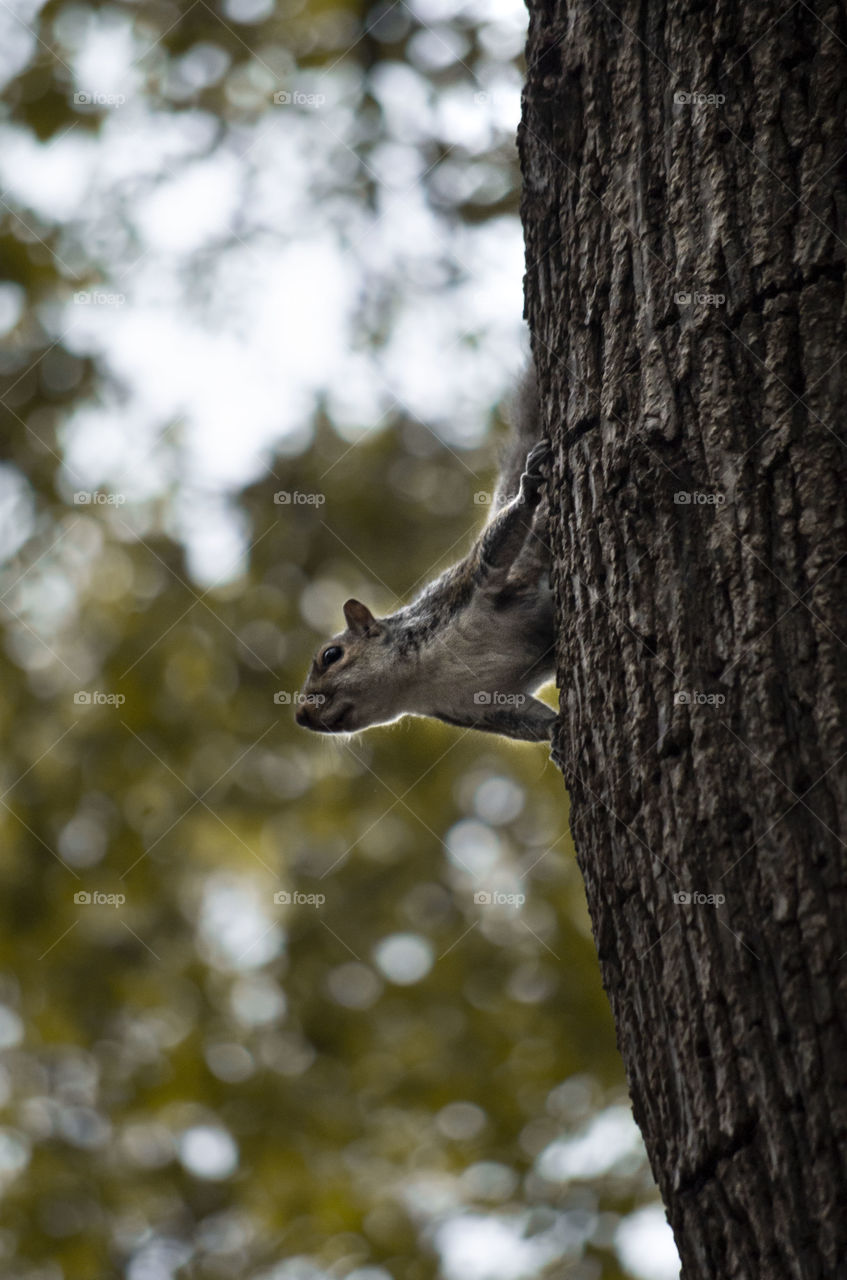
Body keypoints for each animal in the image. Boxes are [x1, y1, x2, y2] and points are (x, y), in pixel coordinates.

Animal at [295, 367, 556, 743]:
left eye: (331, 655)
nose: (301, 716)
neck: (418, 678)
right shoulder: (478, 706)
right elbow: (526, 722)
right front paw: (558, 732)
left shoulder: (461, 591)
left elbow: (492, 552)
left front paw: (529, 490)